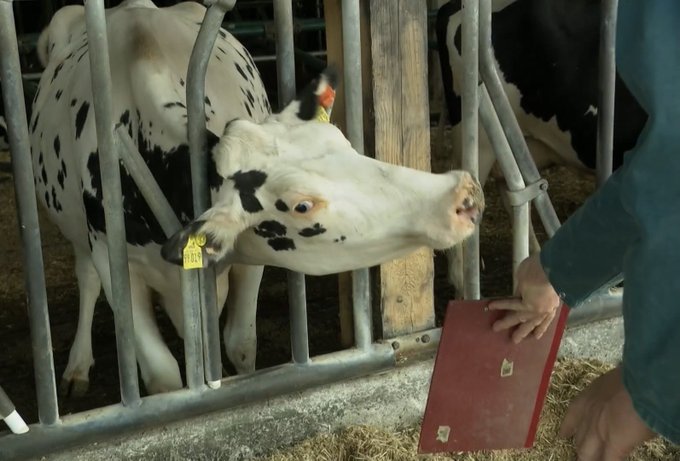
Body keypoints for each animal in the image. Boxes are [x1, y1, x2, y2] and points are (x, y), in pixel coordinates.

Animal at [32, 0, 483, 395]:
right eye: (302, 206)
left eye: (343, 142)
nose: (462, 192)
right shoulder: (115, 263)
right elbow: (162, 374)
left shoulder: (247, 260)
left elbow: (240, 343)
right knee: (86, 277)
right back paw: (76, 367)